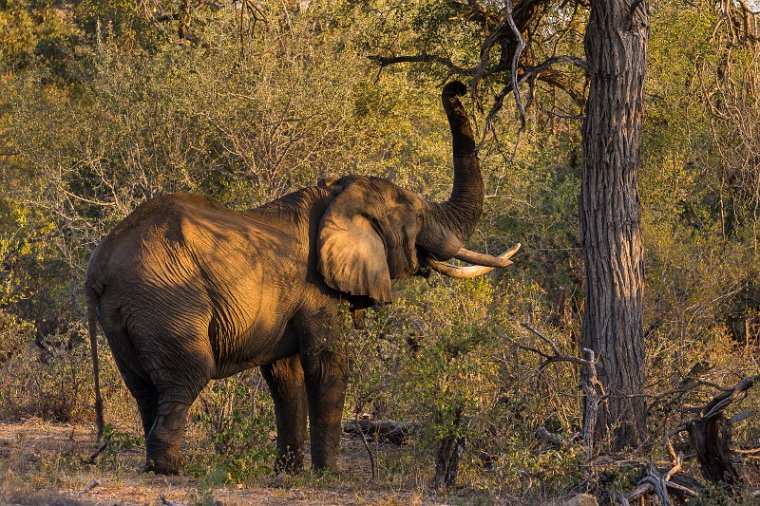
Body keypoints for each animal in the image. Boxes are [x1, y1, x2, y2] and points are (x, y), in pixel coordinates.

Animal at [86, 81, 520, 476]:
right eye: (415, 219)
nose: (457, 86)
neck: (334, 196)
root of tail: (98, 266)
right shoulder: (315, 291)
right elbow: (327, 366)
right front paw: (329, 474)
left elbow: (285, 376)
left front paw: (289, 472)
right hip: (164, 301)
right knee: (188, 375)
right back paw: (173, 470)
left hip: (126, 314)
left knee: (144, 388)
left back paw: (155, 463)